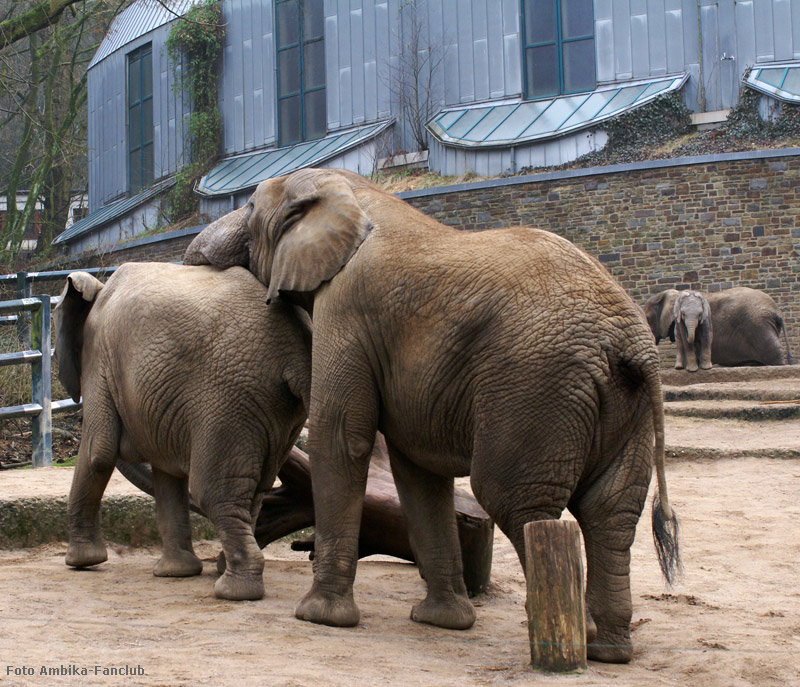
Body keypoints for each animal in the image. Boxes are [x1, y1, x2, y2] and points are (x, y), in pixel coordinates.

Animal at [54, 264, 310, 600]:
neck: (98, 286)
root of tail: (295, 350)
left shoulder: (98, 359)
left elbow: (99, 452)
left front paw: (81, 562)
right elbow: (165, 471)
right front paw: (176, 573)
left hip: (228, 400)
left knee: (212, 492)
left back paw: (233, 590)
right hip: (276, 412)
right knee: (255, 490)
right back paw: (224, 569)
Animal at [183, 168, 680, 668]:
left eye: (249, 206)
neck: (354, 191)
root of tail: (633, 345)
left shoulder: (346, 306)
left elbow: (339, 439)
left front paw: (318, 617)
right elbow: (418, 469)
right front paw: (442, 622)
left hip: (538, 386)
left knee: (516, 500)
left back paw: (576, 636)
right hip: (621, 405)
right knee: (611, 510)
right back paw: (609, 649)